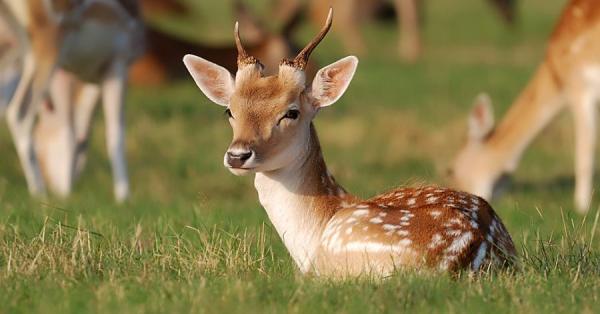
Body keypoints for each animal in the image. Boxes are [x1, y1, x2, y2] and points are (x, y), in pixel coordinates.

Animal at [0, 0, 144, 201]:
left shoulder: (88, 77)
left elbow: (78, 129)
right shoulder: (118, 63)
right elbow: (115, 133)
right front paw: (124, 197)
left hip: (16, 54)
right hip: (47, 44)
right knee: (19, 112)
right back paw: (39, 192)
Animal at [450, 0, 600, 213]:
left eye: (451, 170)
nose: (457, 196)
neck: (557, 77)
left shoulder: (579, 87)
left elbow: (584, 154)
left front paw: (581, 207)